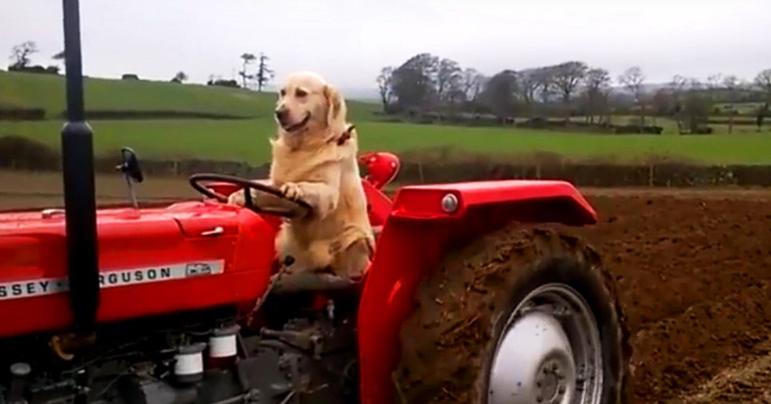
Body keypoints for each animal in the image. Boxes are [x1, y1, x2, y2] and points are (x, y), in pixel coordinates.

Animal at [229, 72, 374, 280]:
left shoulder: (328, 194)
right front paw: (239, 195)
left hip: (354, 239)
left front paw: (295, 187)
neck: (305, 146)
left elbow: (309, 187)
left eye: (301, 93)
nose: (279, 113)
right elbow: (266, 188)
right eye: (282, 92)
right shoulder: (280, 193)